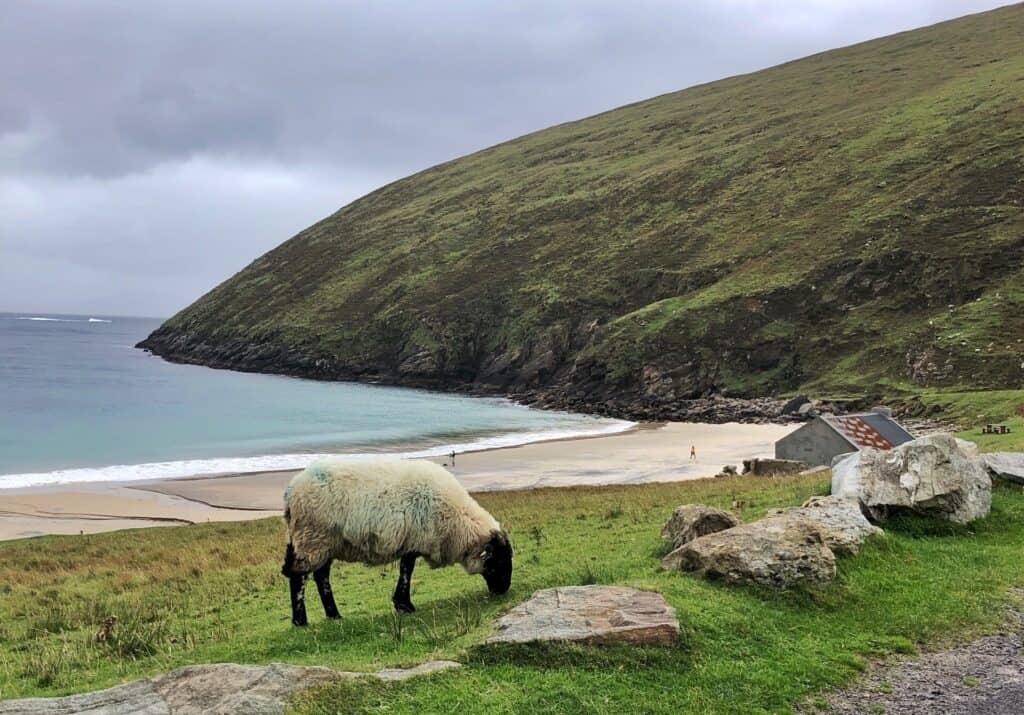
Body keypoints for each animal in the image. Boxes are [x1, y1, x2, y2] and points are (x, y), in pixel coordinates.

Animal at [278, 456, 512, 622]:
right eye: (499, 559)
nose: (504, 589)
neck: (459, 521)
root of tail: (291, 491)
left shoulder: (412, 542)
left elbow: (405, 569)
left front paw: (402, 604)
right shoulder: (415, 540)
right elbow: (407, 571)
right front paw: (405, 605)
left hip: (325, 543)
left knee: (321, 576)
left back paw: (333, 615)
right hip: (312, 538)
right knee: (299, 577)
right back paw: (301, 620)